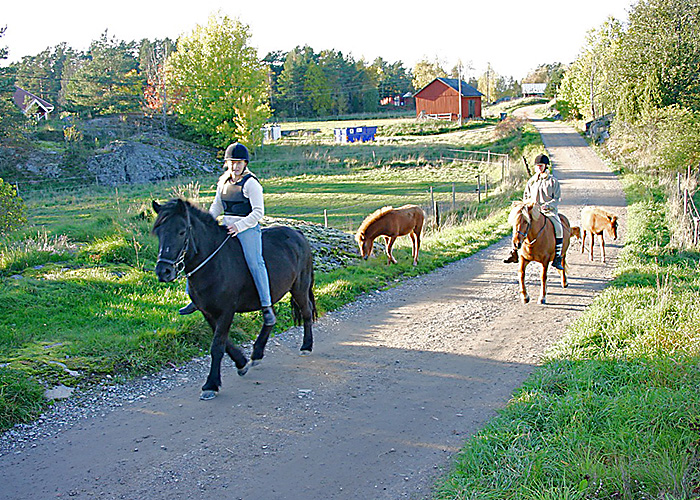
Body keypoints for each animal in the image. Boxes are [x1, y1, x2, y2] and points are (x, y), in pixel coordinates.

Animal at [153, 198, 318, 398]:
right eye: (159, 232)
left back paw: (306, 346)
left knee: (306, 312)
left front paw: (211, 385)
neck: (214, 263)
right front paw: (241, 362)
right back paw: (257, 354)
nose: (164, 271)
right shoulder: (208, 312)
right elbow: (224, 343)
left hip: (300, 288)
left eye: (182, 231)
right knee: (271, 319)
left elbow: (217, 346)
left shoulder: (226, 311)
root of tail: (298, 234)